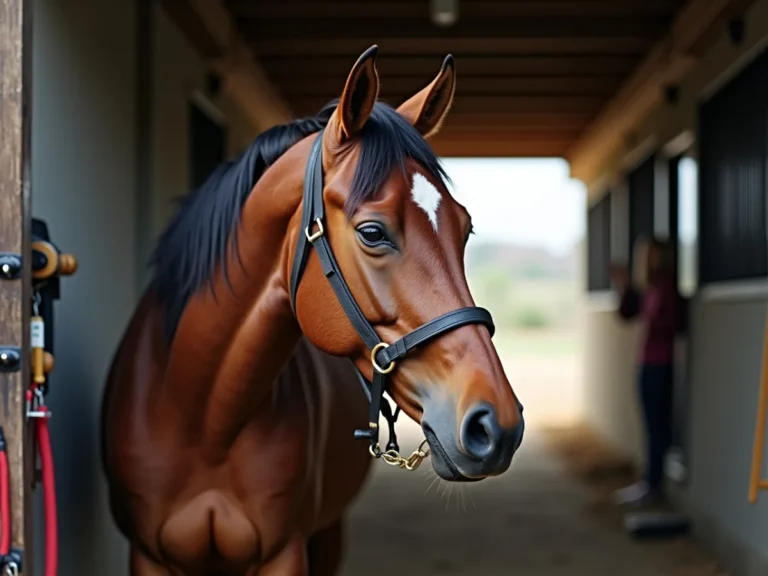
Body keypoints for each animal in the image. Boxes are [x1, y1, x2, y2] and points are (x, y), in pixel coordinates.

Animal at [101, 45, 525, 575]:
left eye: (464, 229)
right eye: (372, 232)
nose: (497, 425)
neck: (202, 417)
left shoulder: (287, 552)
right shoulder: (149, 556)